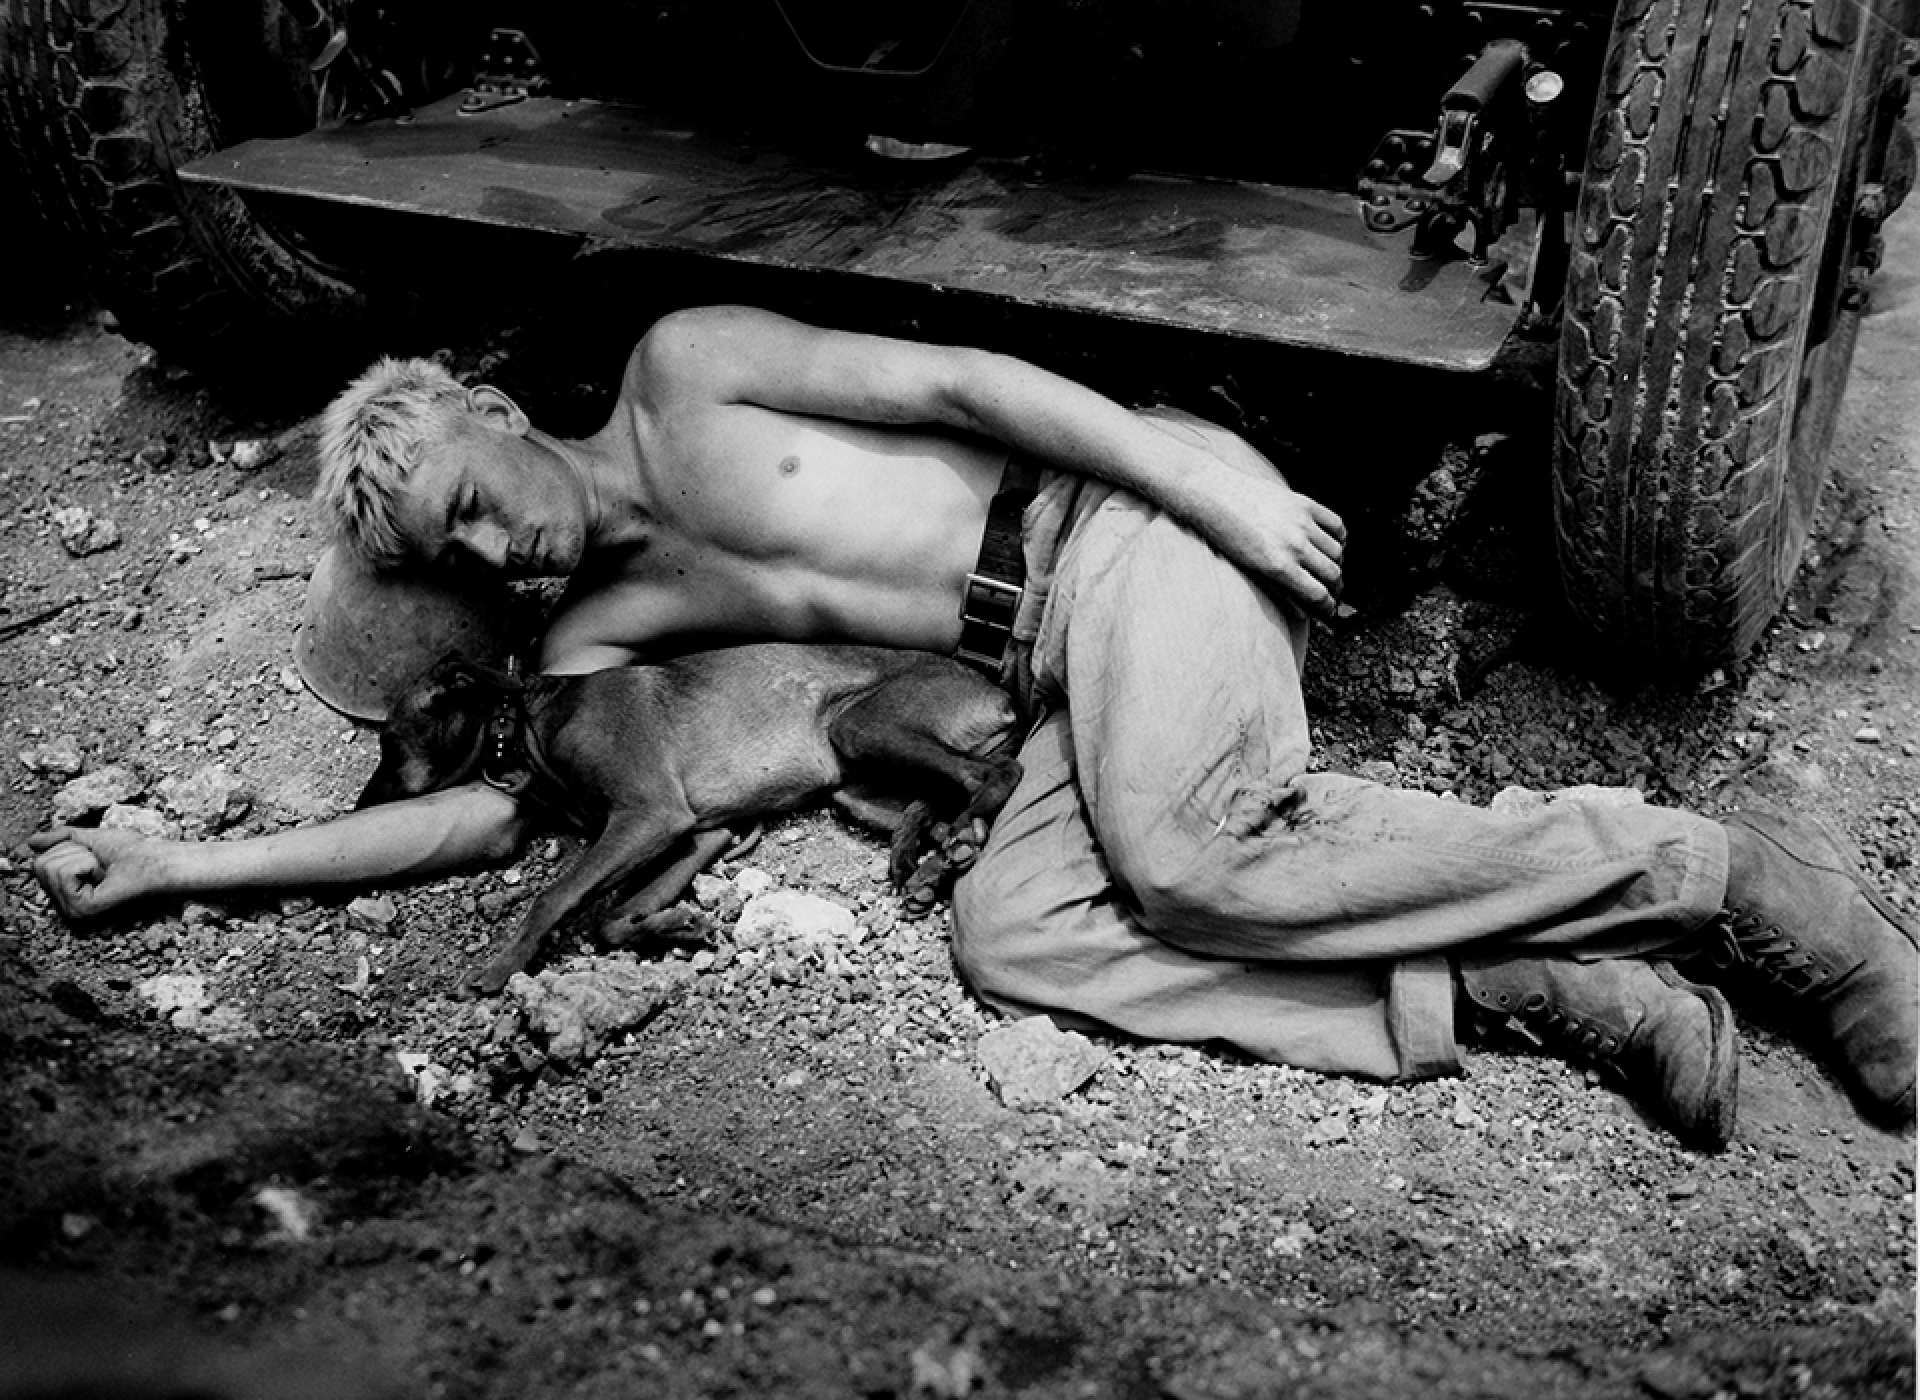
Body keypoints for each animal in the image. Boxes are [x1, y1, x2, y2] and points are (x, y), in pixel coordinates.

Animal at [357, 645, 1021, 990]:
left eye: (387, 742)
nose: (357, 811)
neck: (529, 724)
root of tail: (998, 691)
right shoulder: (697, 834)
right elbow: (609, 917)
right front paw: (674, 927)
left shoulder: (650, 815)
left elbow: (556, 897)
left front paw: (502, 966)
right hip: (857, 787)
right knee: (936, 803)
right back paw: (932, 865)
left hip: (859, 726)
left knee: (994, 776)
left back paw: (965, 837)